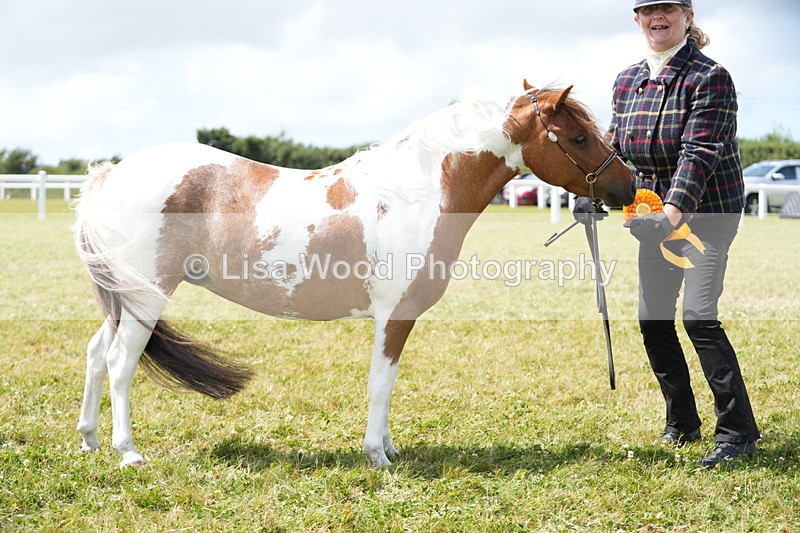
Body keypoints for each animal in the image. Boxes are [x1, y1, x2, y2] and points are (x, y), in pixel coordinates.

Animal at [73, 81, 635, 468]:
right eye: (578, 136)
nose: (628, 185)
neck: (417, 193)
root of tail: (111, 173)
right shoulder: (395, 315)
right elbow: (380, 384)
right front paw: (377, 456)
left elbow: (387, 383)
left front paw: (388, 448)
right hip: (147, 298)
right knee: (121, 363)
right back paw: (128, 452)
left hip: (127, 298)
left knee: (98, 354)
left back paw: (91, 440)